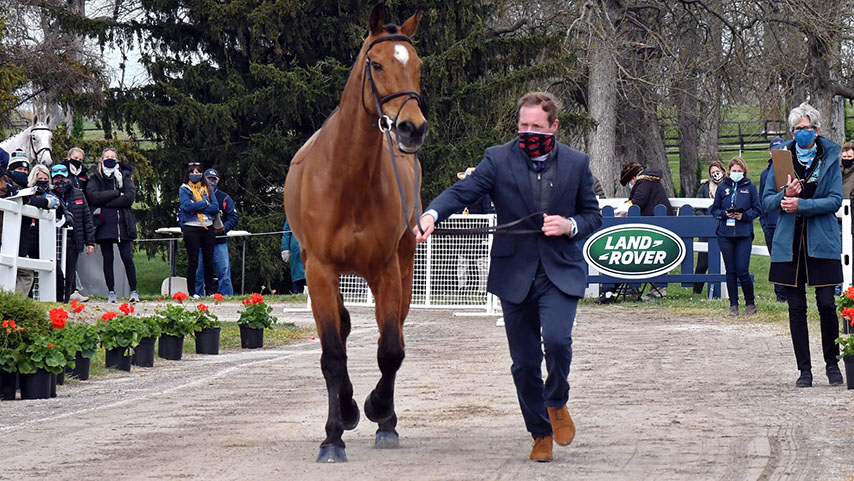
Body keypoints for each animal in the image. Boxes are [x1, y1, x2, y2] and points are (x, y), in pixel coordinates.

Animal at [286, 3, 432, 462]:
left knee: (393, 329)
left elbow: (391, 349)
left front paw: (379, 412)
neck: (346, 178)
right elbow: (332, 354)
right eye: (378, 63)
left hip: (400, 269)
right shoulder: (319, 270)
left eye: (418, 65)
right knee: (342, 331)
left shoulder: (385, 270)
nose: (412, 128)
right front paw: (333, 435)